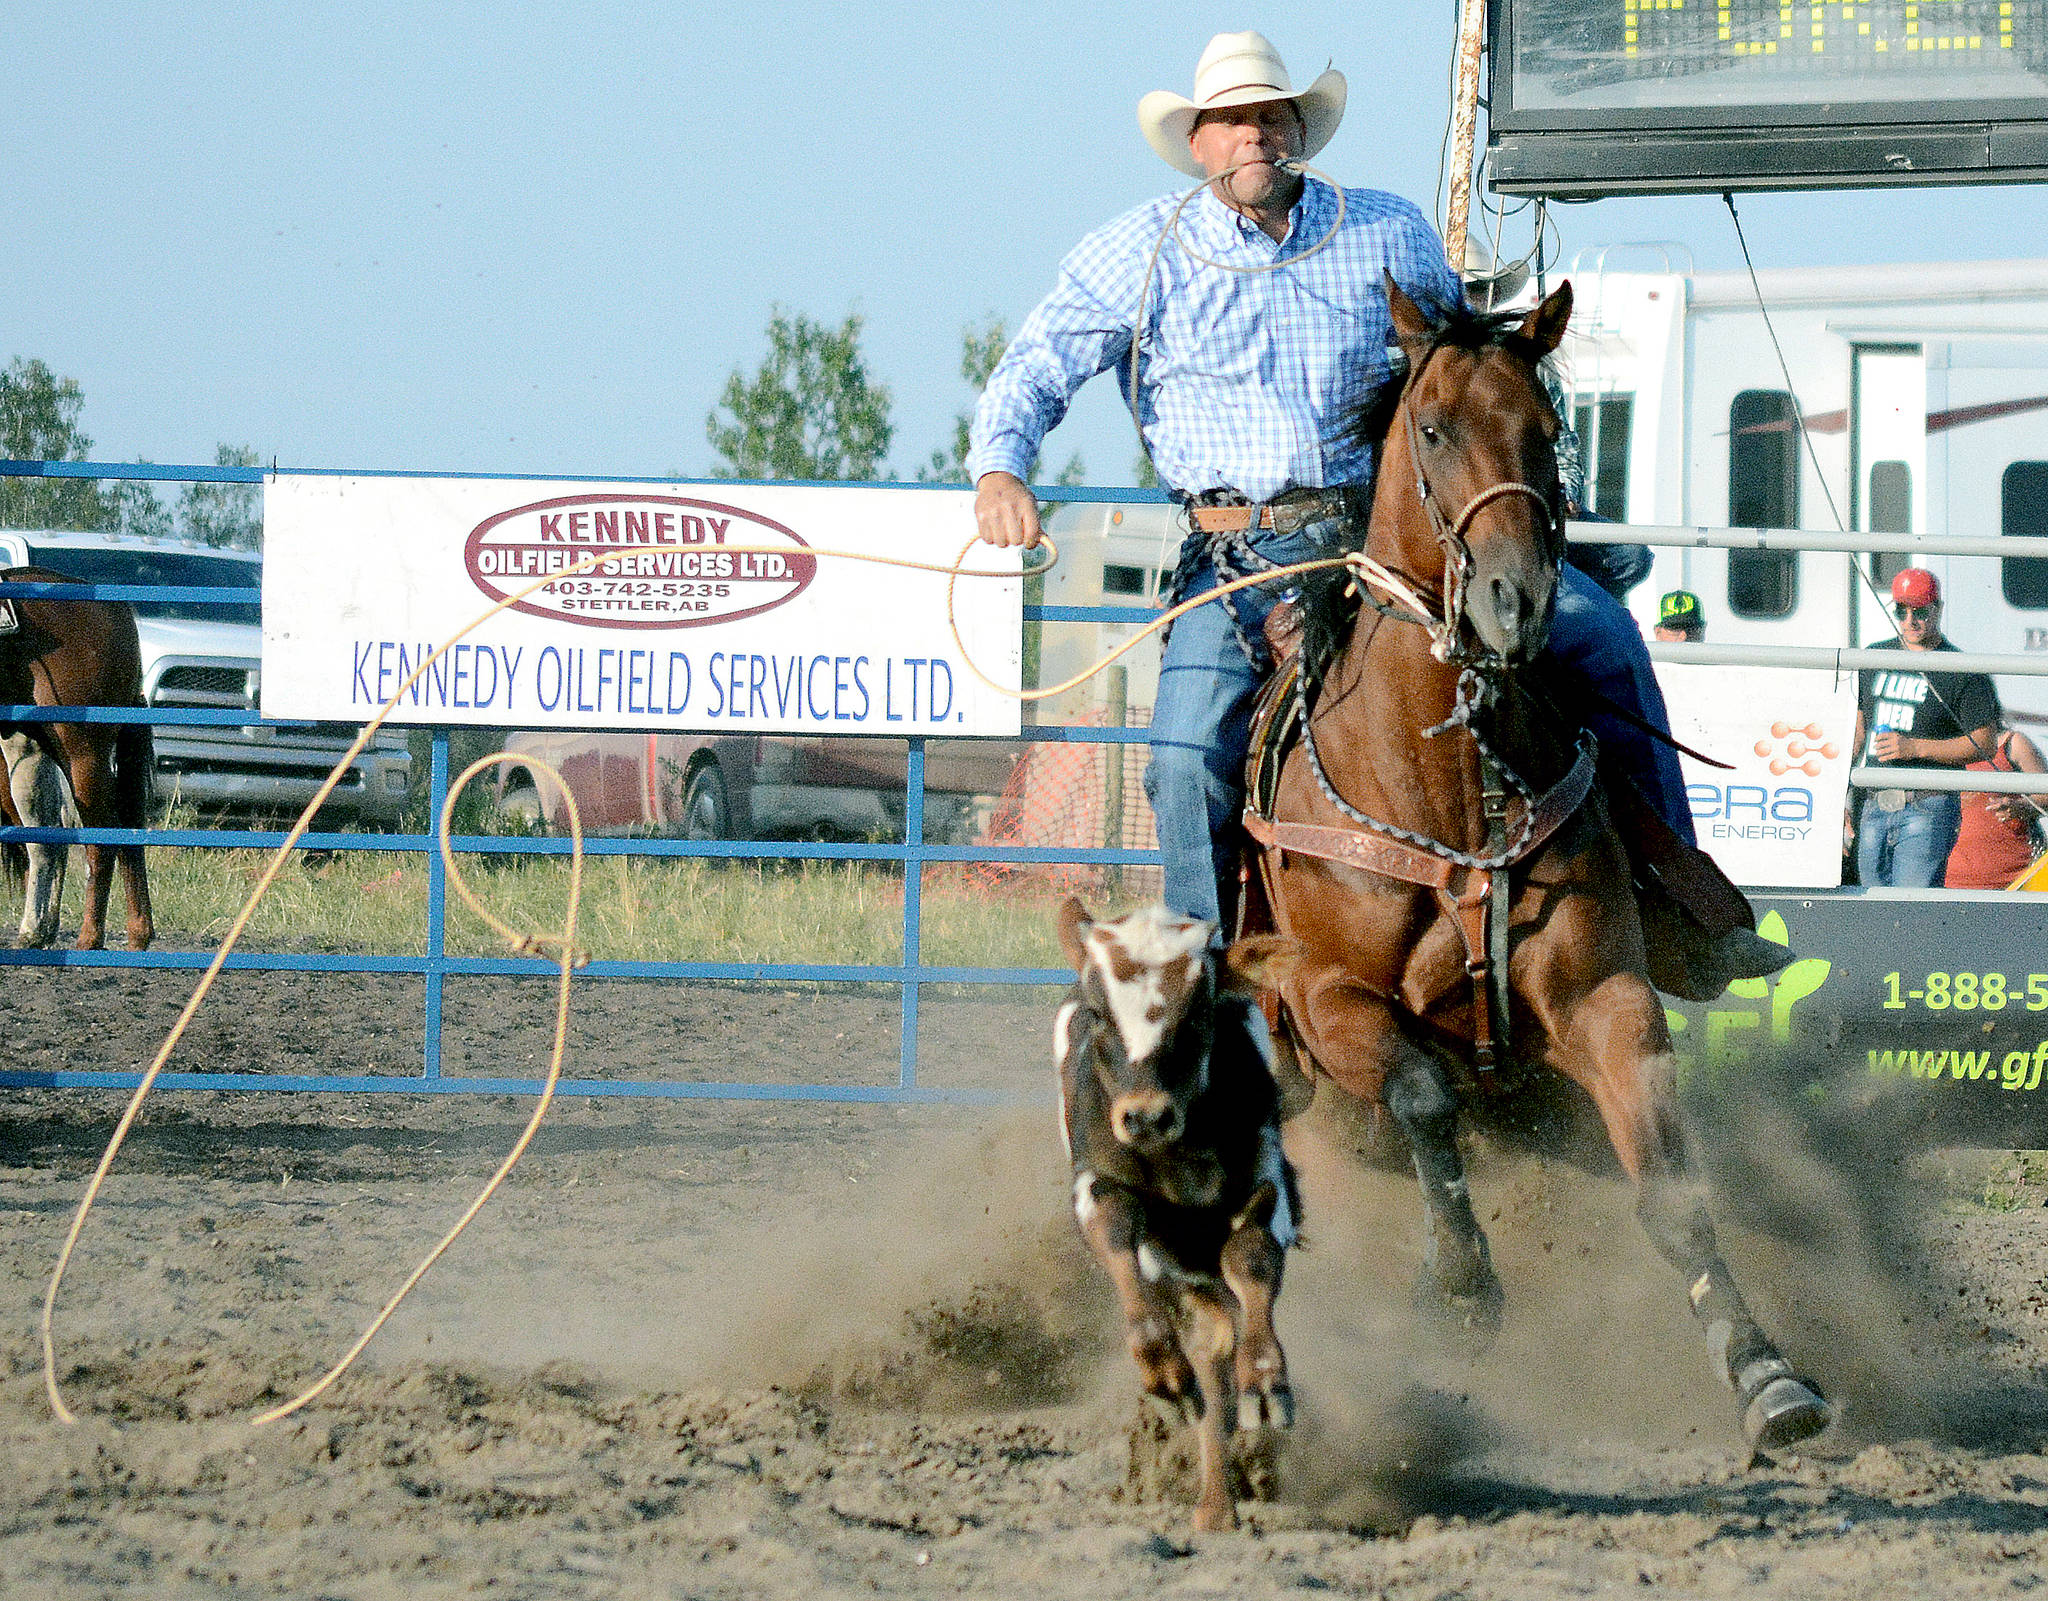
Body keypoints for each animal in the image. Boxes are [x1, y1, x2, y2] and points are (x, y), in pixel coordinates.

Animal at [1056, 896, 1294, 1539]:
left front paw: (1264, 1381)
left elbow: (1252, 1258)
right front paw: (1164, 1373)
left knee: (1219, 1338)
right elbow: (1116, 1240)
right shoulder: (1097, 1184)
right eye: (1099, 1013)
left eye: (1199, 1013)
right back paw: (1215, 1503)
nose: (1145, 1117)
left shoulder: (1267, 1178)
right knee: (1207, 1347)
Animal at [1236, 282, 1835, 1457]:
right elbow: (1424, 1093)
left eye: (1550, 431)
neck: (1441, 786)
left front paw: (1761, 1367)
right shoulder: (1326, 998)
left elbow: (1671, 1191)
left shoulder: (1605, 998)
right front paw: (1463, 1287)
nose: (1515, 601)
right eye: (1430, 430)